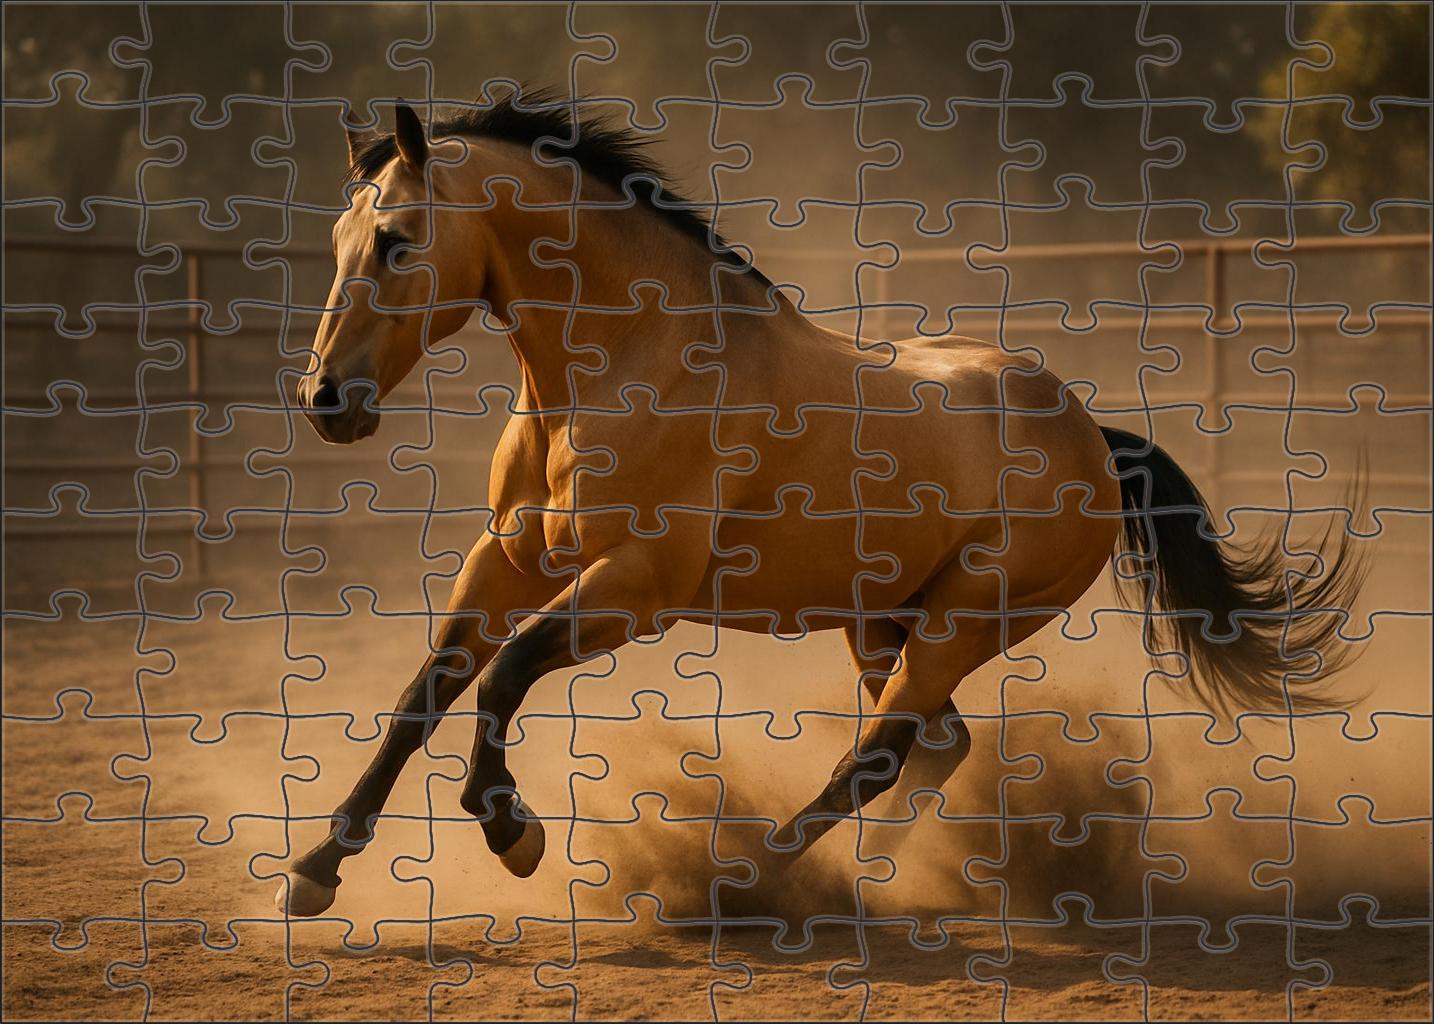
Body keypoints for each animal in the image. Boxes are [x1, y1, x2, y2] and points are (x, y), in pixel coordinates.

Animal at [276, 98, 1366, 917]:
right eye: (336, 236)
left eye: (396, 242)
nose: (326, 400)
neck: (627, 364)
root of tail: (1095, 441)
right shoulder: (506, 559)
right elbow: (424, 692)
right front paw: (316, 869)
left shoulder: (634, 588)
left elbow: (503, 675)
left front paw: (513, 832)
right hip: (883, 620)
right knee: (933, 748)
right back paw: (869, 880)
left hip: (963, 620)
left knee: (878, 755)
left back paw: (748, 882)